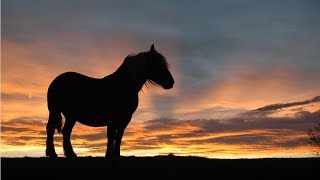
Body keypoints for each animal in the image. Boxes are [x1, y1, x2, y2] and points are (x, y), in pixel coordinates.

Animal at [45, 44, 174, 158]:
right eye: (158, 65)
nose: (171, 82)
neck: (123, 86)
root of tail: (56, 81)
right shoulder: (113, 119)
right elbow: (111, 136)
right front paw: (109, 155)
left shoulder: (125, 119)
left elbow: (119, 137)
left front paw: (116, 155)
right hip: (57, 112)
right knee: (52, 129)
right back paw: (53, 154)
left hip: (70, 116)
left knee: (65, 132)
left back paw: (70, 154)